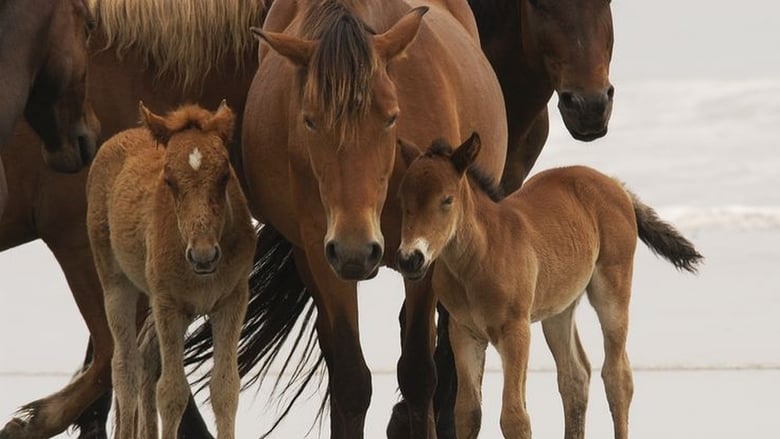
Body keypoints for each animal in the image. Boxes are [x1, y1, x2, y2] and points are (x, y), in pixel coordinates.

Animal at [86, 102, 255, 439]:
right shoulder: (168, 304)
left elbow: (225, 388)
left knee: (146, 359)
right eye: (169, 180)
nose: (204, 256)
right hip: (116, 283)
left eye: (224, 175)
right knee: (125, 366)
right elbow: (172, 391)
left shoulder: (232, 299)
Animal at [225, 0, 508, 436]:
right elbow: (350, 381)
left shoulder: (425, 256)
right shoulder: (324, 255)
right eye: (309, 120)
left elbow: (417, 373)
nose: (356, 249)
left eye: (391, 117)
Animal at [395, 134, 703, 438]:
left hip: (613, 288)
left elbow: (515, 418)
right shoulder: (464, 331)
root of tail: (614, 183)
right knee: (575, 376)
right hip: (559, 307)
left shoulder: (515, 330)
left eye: (447, 200)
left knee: (617, 377)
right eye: (403, 199)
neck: (478, 256)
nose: (411, 258)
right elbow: (468, 413)